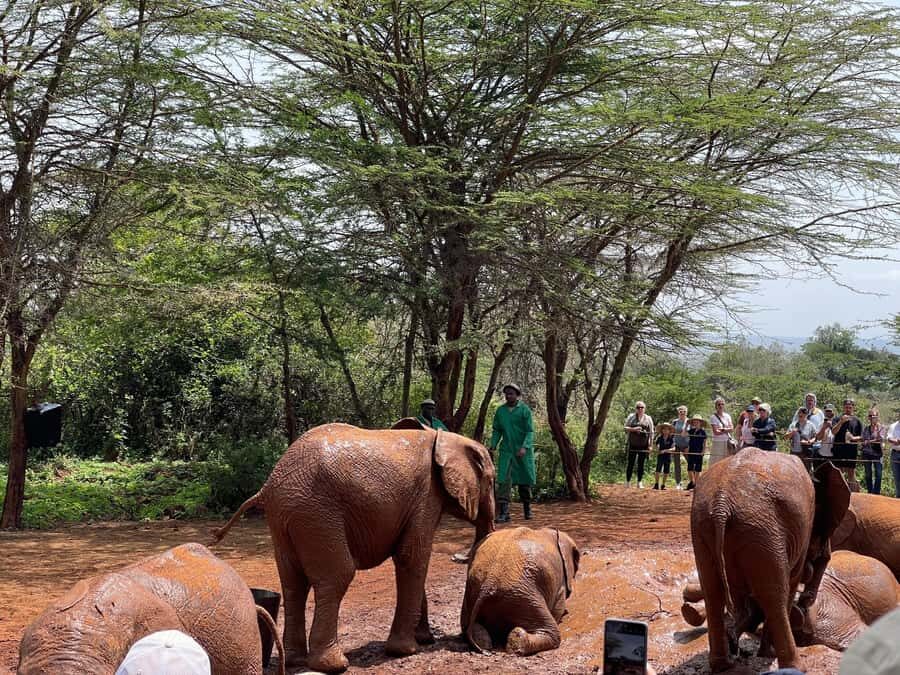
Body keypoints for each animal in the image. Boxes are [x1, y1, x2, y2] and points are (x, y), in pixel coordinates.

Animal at [212, 422, 496, 673]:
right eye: (492, 482)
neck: (445, 437)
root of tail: (268, 485)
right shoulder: (426, 497)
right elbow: (412, 557)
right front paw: (406, 651)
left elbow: (411, 559)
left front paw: (424, 640)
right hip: (316, 513)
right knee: (337, 575)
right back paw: (334, 665)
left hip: (285, 518)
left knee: (293, 582)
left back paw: (295, 661)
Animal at [460, 526, 580, 656]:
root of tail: (488, 583)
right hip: (523, 597)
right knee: (552, 632)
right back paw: (516, 639)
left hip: (473, 591)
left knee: (467, 627)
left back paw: (485, 644)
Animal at [690, 451, 850, 672]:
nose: (806, 601)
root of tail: (721, 503)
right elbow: (790, 582)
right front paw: (765, 652)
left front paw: (737, 637)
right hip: (762, 530)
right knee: (775, 595)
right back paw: (794, 666)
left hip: (705, 526)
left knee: (712, 592)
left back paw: (723, 664)